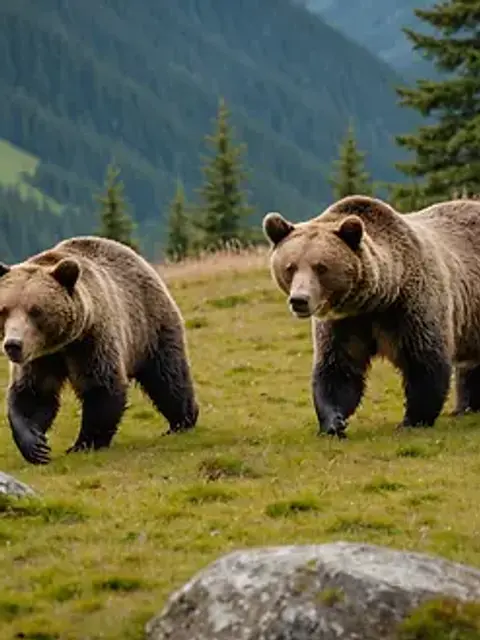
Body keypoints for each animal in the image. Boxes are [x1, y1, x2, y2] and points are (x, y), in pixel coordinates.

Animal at [0, 236, 199, 464]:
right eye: (3, 310)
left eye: (35, 311)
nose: (13, 344)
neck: (62, 344)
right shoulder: (40, 357)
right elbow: (33, 393)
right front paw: (35, 445)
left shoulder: (91, 340)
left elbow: (101, 386)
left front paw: (82, 445)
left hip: (150, 326)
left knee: (167, 376)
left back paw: (182, 421)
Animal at [262, 194, 480, 438]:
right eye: (290, 267)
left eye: (321, 267)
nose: (299, 300)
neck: (376, 300)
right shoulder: (345, 324)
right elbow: (337, 369)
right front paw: (333, 423)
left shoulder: (412, 307)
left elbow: (425, 362)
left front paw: (412, 421)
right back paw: (466, 408)